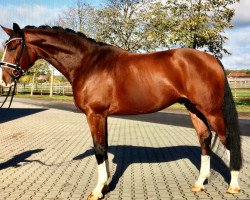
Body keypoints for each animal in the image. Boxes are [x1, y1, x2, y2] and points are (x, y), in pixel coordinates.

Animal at [0, 23, 242, 198]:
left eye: (12, 47)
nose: (4, 79)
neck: (88, 63)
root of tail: (211, 59)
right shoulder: (102, 116)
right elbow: (104, 147)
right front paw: (106, 186)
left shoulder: (95, 114)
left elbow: (99, 149)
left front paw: (97, 190)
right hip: (194, 109)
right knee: (205, 138)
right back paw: (200, 183)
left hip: (211, 111)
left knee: (227, 140)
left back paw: (233, 185)